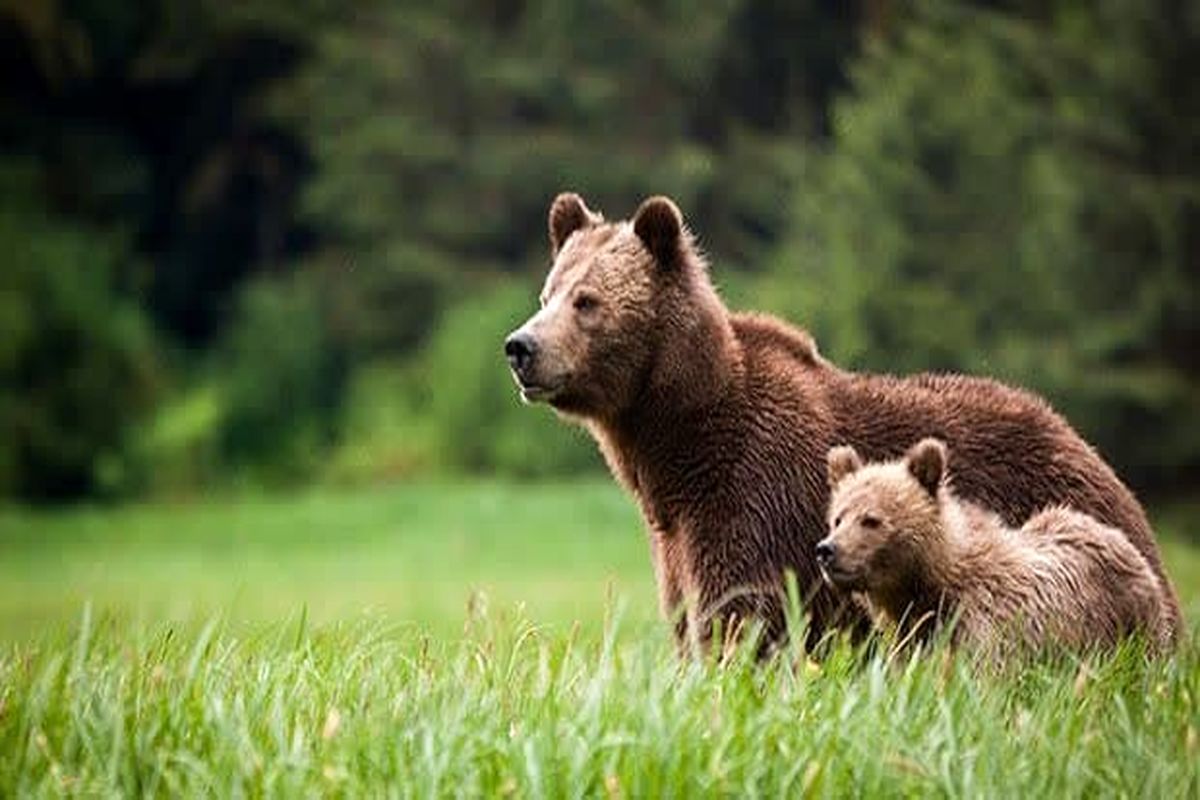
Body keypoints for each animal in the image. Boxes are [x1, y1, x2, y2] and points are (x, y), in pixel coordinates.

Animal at [816, 438, 1171, 657]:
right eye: (838, 518)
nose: (827, 550)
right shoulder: (910, 636)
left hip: (1133, 623)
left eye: (871, 519)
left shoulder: (988, 624)